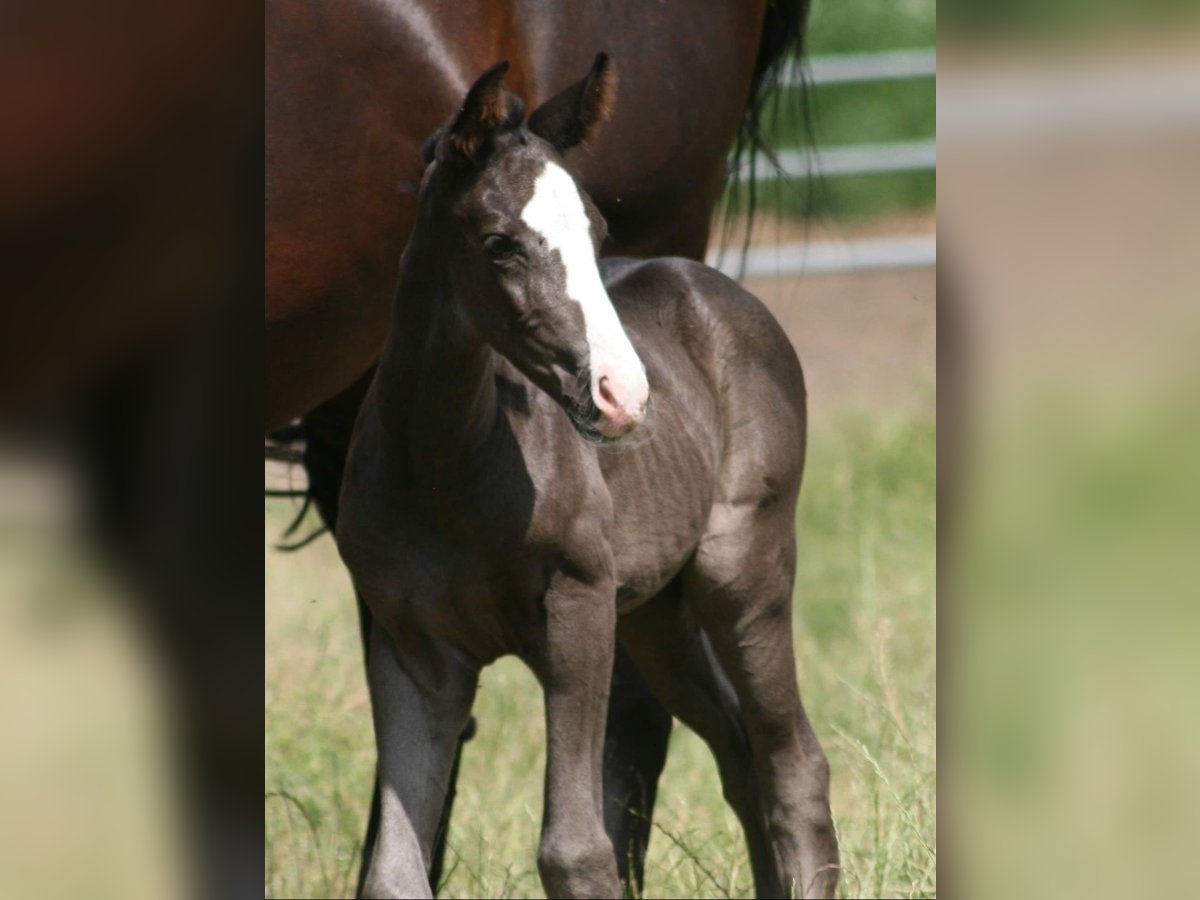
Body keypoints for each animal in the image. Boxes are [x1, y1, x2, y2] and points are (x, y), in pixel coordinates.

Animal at [266, 0, 811, 888]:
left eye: (598, 229)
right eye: (499, 242)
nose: (623, 394)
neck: (447, 469)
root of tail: (718, 288)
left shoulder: (577, 610)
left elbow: (575, 848)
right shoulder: (414, 651)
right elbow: (395, 870)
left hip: (743, 576)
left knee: (790, 758)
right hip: (657, 613)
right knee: (737, 752)